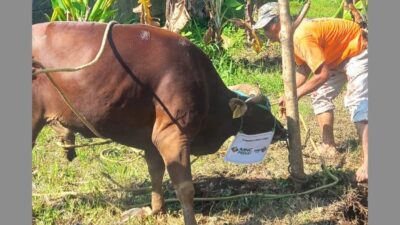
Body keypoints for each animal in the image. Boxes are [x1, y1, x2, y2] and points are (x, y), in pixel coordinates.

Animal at [32, 21, 286, 225]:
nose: (283, 130)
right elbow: (185, 188)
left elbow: (155, 172)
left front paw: (154, 210)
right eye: (264, 113)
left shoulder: (150, 140)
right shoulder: (172, 135)